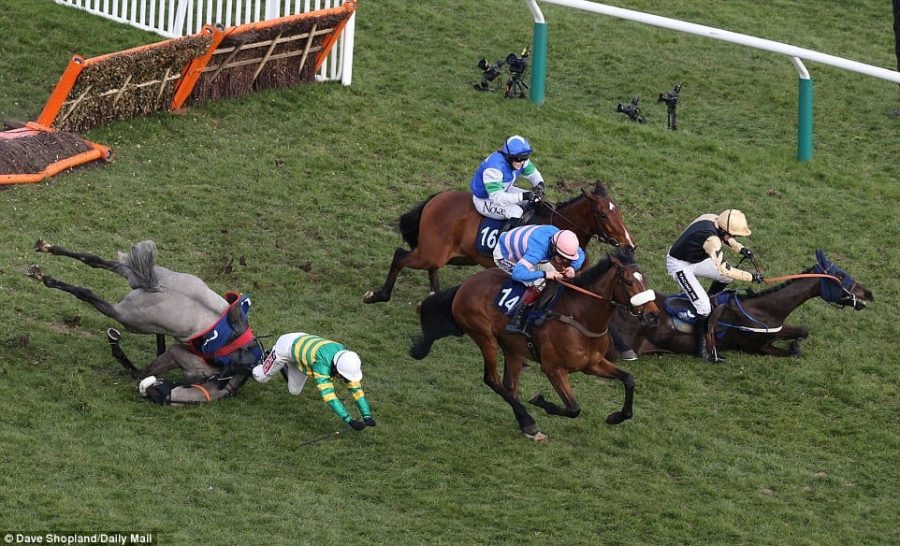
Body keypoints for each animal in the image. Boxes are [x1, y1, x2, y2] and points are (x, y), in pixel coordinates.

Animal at [25, 239, 264, 404]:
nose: (156, 394)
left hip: (134, 279)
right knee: (87, 291)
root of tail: (158, 288)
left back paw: (44, 257)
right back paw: (45, 275)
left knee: (94, 261)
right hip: (127, 314)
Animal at [362, 182, 636, 302]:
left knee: (431, 267)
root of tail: (436, 199)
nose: (629, 245)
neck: (560, 228)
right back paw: (379, 295)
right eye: (603, 214)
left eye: (619, 212)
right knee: (400, 255)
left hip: (444, 253)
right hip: (431, 252)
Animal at [412, 249, 656, 440]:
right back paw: (528, 422)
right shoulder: (553, 368)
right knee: (492, 379)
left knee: (509, 385)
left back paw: (526, 424)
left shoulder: (593, 364)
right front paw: (539, 400)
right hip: (484, 336)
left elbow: (629, 379)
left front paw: (616, 417)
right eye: (628, 282)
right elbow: (573, 409)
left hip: (512, 347)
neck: (580, 317)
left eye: (645, 279)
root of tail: (465, 285)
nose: (653, 314)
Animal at [604, 249, 872, 360]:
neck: (762, 311)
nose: (868, 293)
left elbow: (802, 332)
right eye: (841, 276)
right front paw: (794, 347)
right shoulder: (755, 347)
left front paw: (796, 341)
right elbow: (792, 353)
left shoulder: (774, 329)